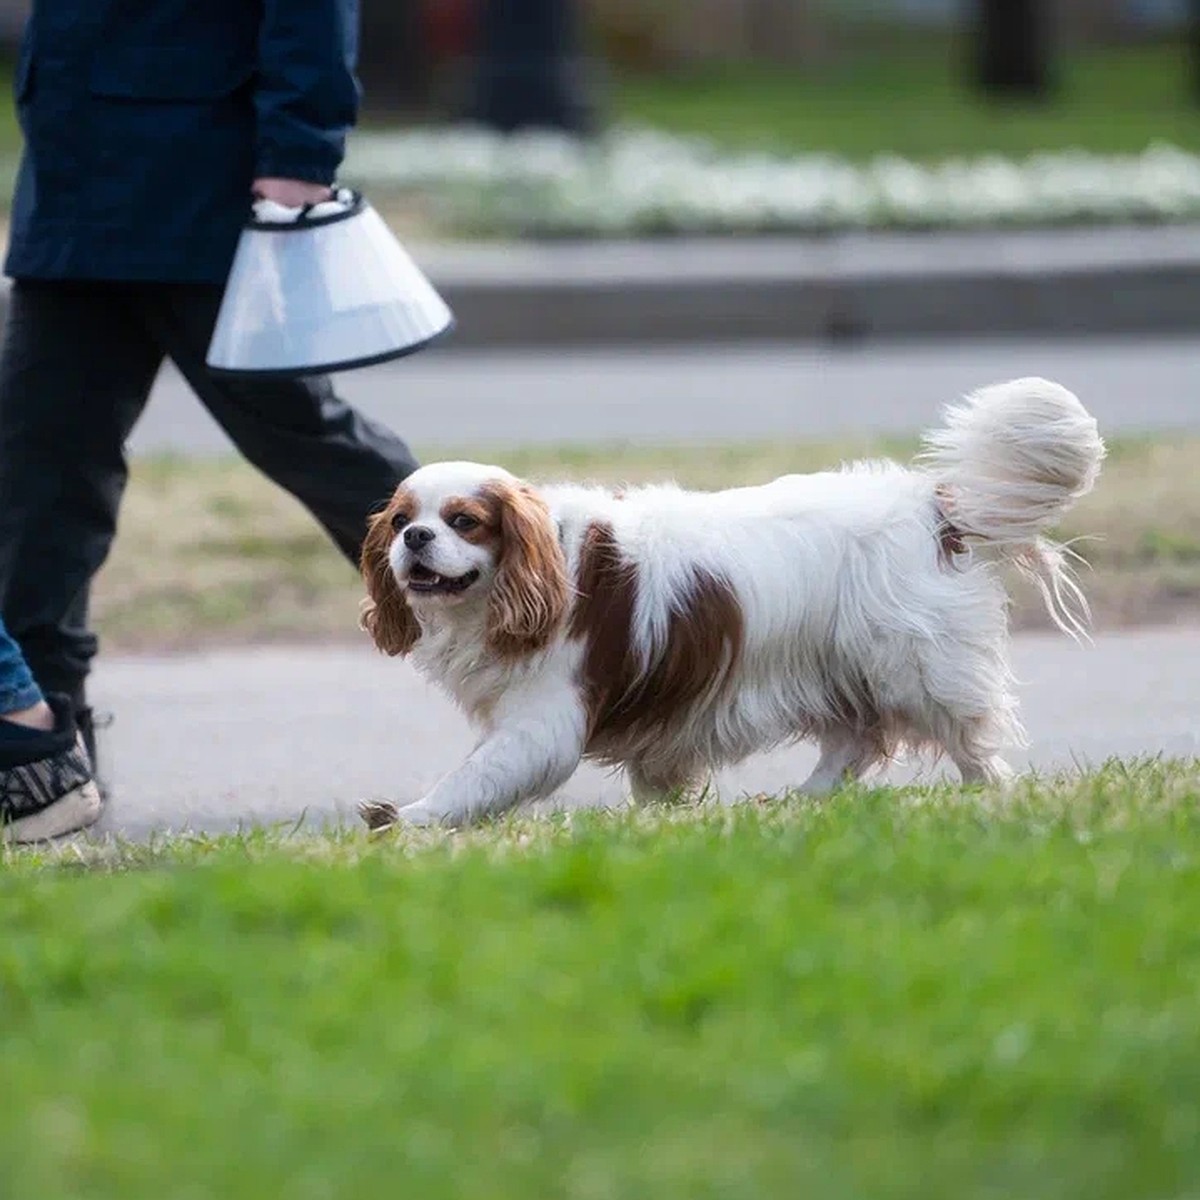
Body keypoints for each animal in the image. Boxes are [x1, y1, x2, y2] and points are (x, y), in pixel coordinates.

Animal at [357, 379, 1104, 830]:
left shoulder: (541, 721)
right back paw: (801, 804)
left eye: (464, 521)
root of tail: (931, 503)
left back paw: (989, 795)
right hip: (839, 665)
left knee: (969, 741)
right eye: (400, 522)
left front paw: (407, 819)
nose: (417, 538)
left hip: (914, 666)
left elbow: (475, 777)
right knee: (855, 741)